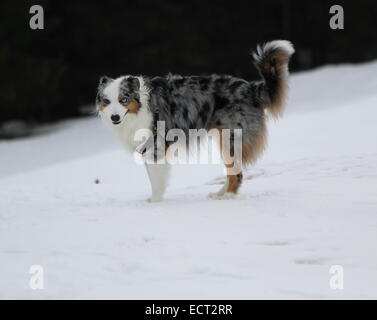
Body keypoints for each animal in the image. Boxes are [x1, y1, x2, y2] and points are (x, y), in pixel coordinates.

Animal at [96, 39, 294, 200]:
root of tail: (251, 88)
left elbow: (157, 180)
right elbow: (152, 178)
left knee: (236, 174)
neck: (141, 108)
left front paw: (154, 203)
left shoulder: (156, 146)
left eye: (124, 99)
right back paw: (219, 193)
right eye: (106, 101)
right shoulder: (145, 148)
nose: (114, 117)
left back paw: (227, 197)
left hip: (230, 138)